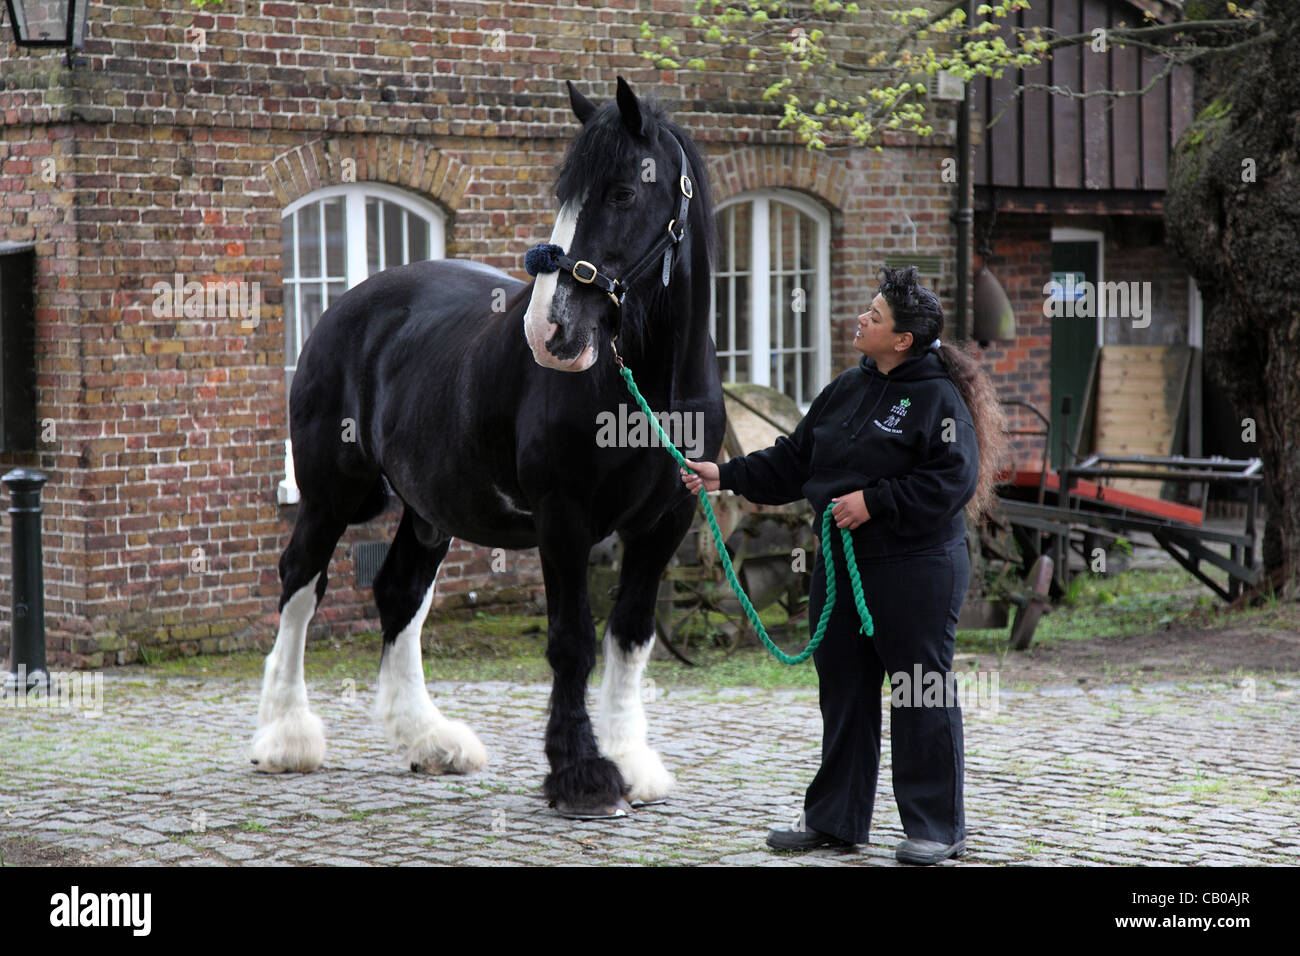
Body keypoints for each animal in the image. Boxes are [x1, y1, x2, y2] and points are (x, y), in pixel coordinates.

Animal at [248, 78, 728, 816]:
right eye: (565, 194)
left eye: (622, 193)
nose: (549, 329)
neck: (652, 388)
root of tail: (349, 304)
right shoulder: (564, 518)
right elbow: (571, 642)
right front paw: (581, 773)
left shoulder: (666, 521)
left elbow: (629, 635)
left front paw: (628, 760)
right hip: (332, 494)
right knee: (302, 579)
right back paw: (285, 736)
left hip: (430, 508)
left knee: (397, 592)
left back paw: (429, 739)